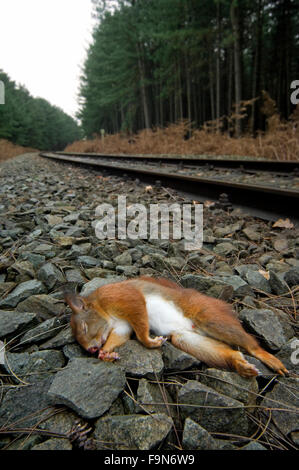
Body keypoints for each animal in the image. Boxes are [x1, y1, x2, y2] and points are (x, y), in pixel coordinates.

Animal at [65, 276, 288, 378]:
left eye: (84, 327)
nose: (91, 349)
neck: (103, 309)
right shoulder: (121, 325)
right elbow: (119, 336)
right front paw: (106, 353)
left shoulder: (125, 298)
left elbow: (140, 327)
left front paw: (150, 341)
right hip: (187, 340)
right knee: (232, 352)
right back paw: (241, 365)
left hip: (211, 319)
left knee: (250, 345)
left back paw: (271, 360)